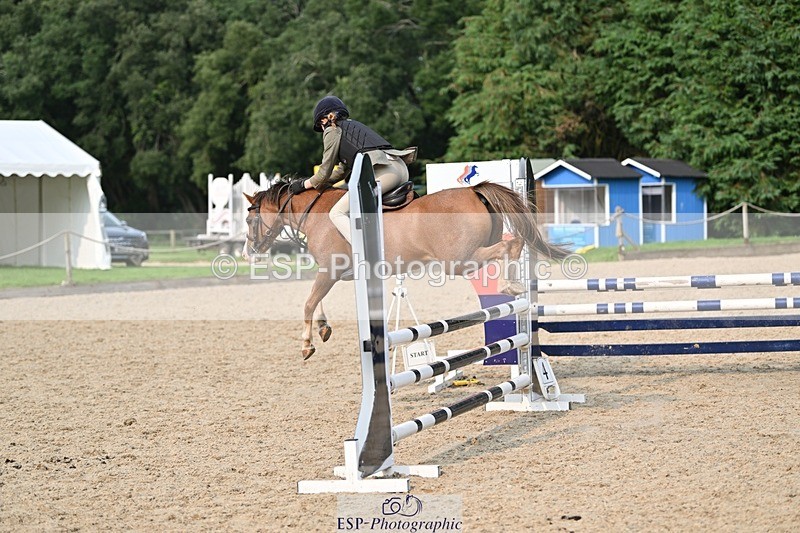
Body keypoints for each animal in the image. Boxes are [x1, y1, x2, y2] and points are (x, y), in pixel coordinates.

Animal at [243, 178, 568, 360]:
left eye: (248, 220)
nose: (250, 251)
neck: (317, 212)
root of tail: (474, 191)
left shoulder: (331, 270)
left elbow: (309, 302)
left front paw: (307, 345)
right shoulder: (333, 272)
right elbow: (316, 298)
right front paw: (323, 328)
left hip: (458, 260)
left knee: (508, 247)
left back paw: (509, 286)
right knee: (514, 243)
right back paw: (515, 286)